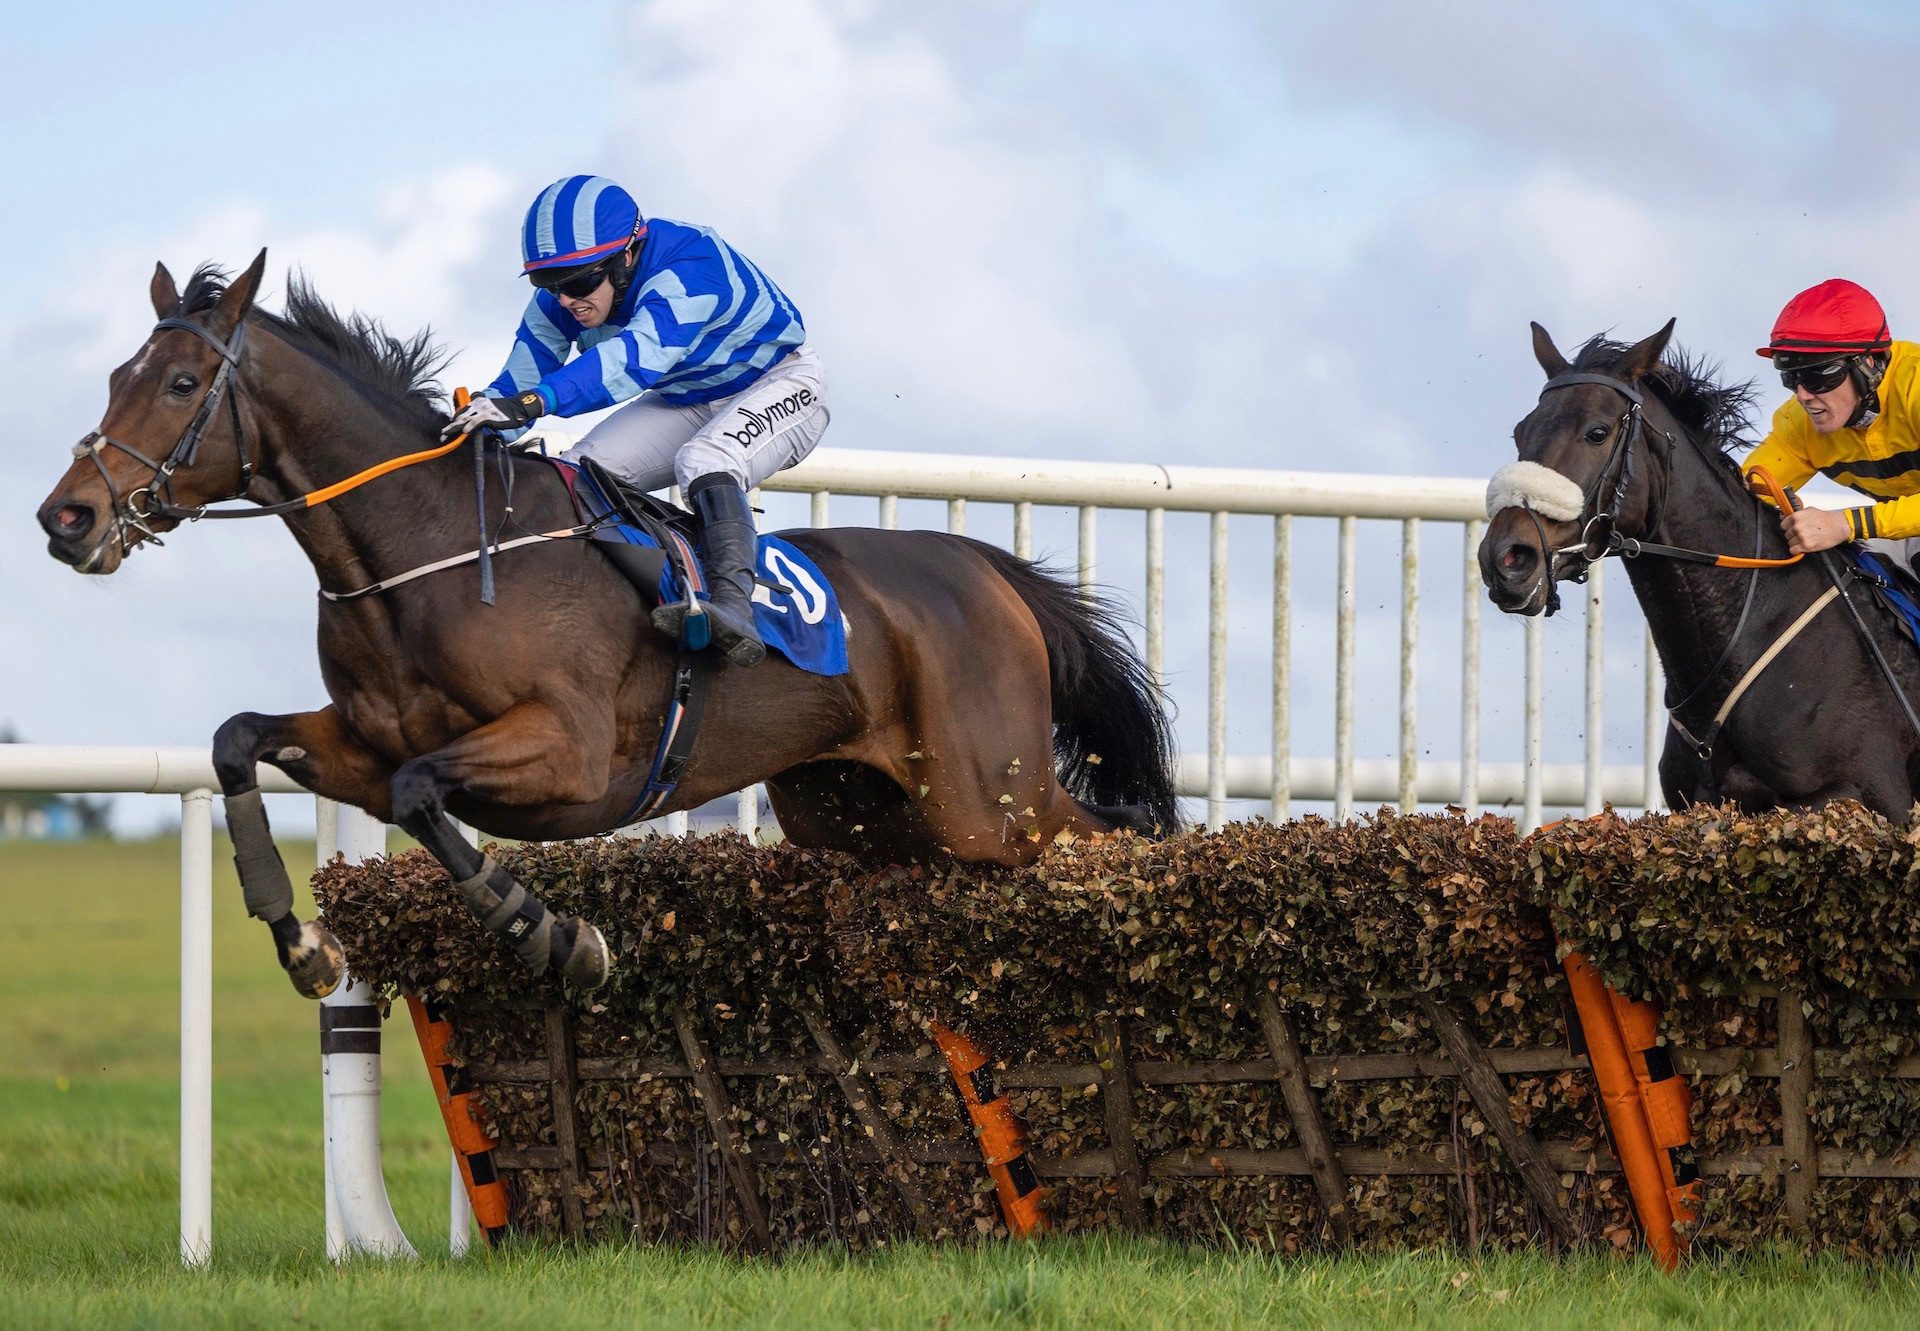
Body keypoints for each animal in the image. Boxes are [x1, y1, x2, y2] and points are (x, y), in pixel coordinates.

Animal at [37, 251, 1175, 998]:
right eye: (116, 378)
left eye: (181, 382)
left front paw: (553, 933)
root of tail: (985, 569)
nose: (67, 517)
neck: (427, 548)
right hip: (865, 814)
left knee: (1110, 832)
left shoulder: (570, 756)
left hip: (992, 801)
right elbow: (240, 742)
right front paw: (308, 947)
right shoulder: (361, 743)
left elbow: (421, 794)